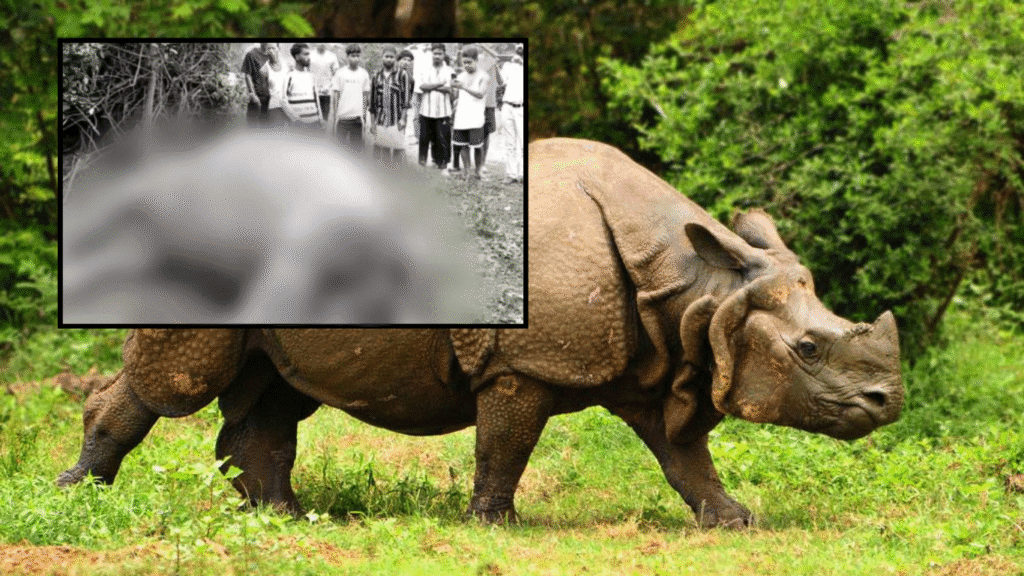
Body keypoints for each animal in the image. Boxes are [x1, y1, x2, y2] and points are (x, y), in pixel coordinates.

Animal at [58, 138, 904, 528]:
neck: (698, 289)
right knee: (179, 378)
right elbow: (506, 444)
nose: (888, 402)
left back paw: (283, 516)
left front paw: (735, 522)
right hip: (199, 240)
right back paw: (80, 497)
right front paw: (497, 524)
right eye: (809, 349)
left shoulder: (656, 360)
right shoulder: (524, 362)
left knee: (273, 389)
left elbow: (684, 456)